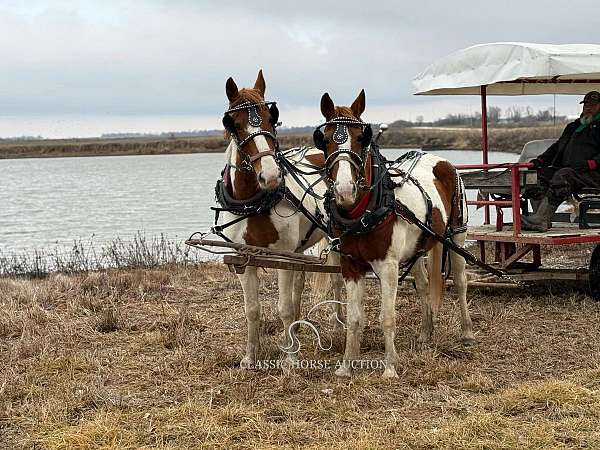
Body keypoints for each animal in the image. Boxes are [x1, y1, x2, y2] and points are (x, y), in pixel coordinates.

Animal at [217, 69, 340, 366]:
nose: (270, 175)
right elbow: (252, 309)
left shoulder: (282, 256)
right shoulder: (244, 259)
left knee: (337, 280)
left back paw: (338, 324)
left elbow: (283, 308)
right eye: (234, 124)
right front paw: (250, 357)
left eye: (271, 117)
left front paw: (290, 361)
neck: (254, 203)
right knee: (301, 281)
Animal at [316, 89, 476, 378]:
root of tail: (437, 159)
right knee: (423, 284)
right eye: (324, 139)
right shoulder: (350, 265)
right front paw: (347, 364)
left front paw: (390, 366)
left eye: (361, 138)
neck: (363, 212)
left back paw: (467, 332)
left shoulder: (388, 266)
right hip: (419, 245)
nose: (344, 190)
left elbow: (386, 317)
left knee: (460, 281)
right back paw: (425, 332)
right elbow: (354, 318)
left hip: (457, 234)